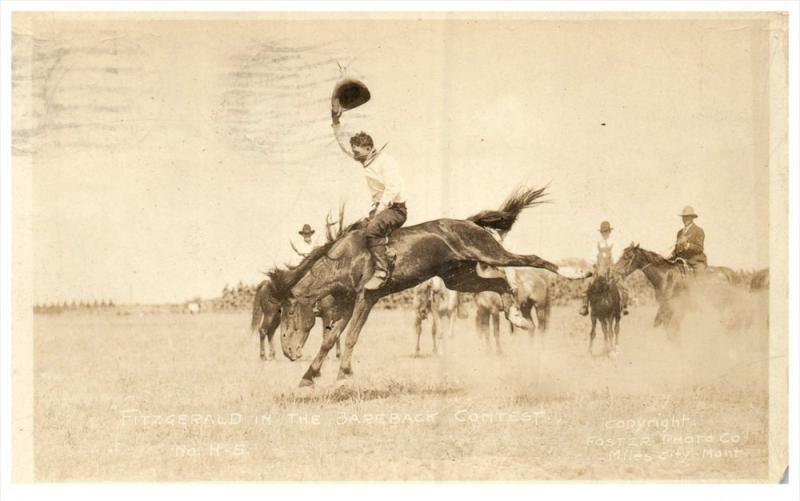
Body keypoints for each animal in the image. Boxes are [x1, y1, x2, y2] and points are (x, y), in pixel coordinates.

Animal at [272, 186, 592, 384]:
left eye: (288, 312)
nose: (287, 351)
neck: (346, 258)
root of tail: (468, 222)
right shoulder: (349, 305)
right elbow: (330, 339)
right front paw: (309, 376)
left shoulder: (366, 298)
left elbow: (349, 337)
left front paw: (343, 374)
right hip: (460, 278)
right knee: (500, 282)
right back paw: (517, 317)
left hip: (490, 253)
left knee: (531, 259)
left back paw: (577, 272)